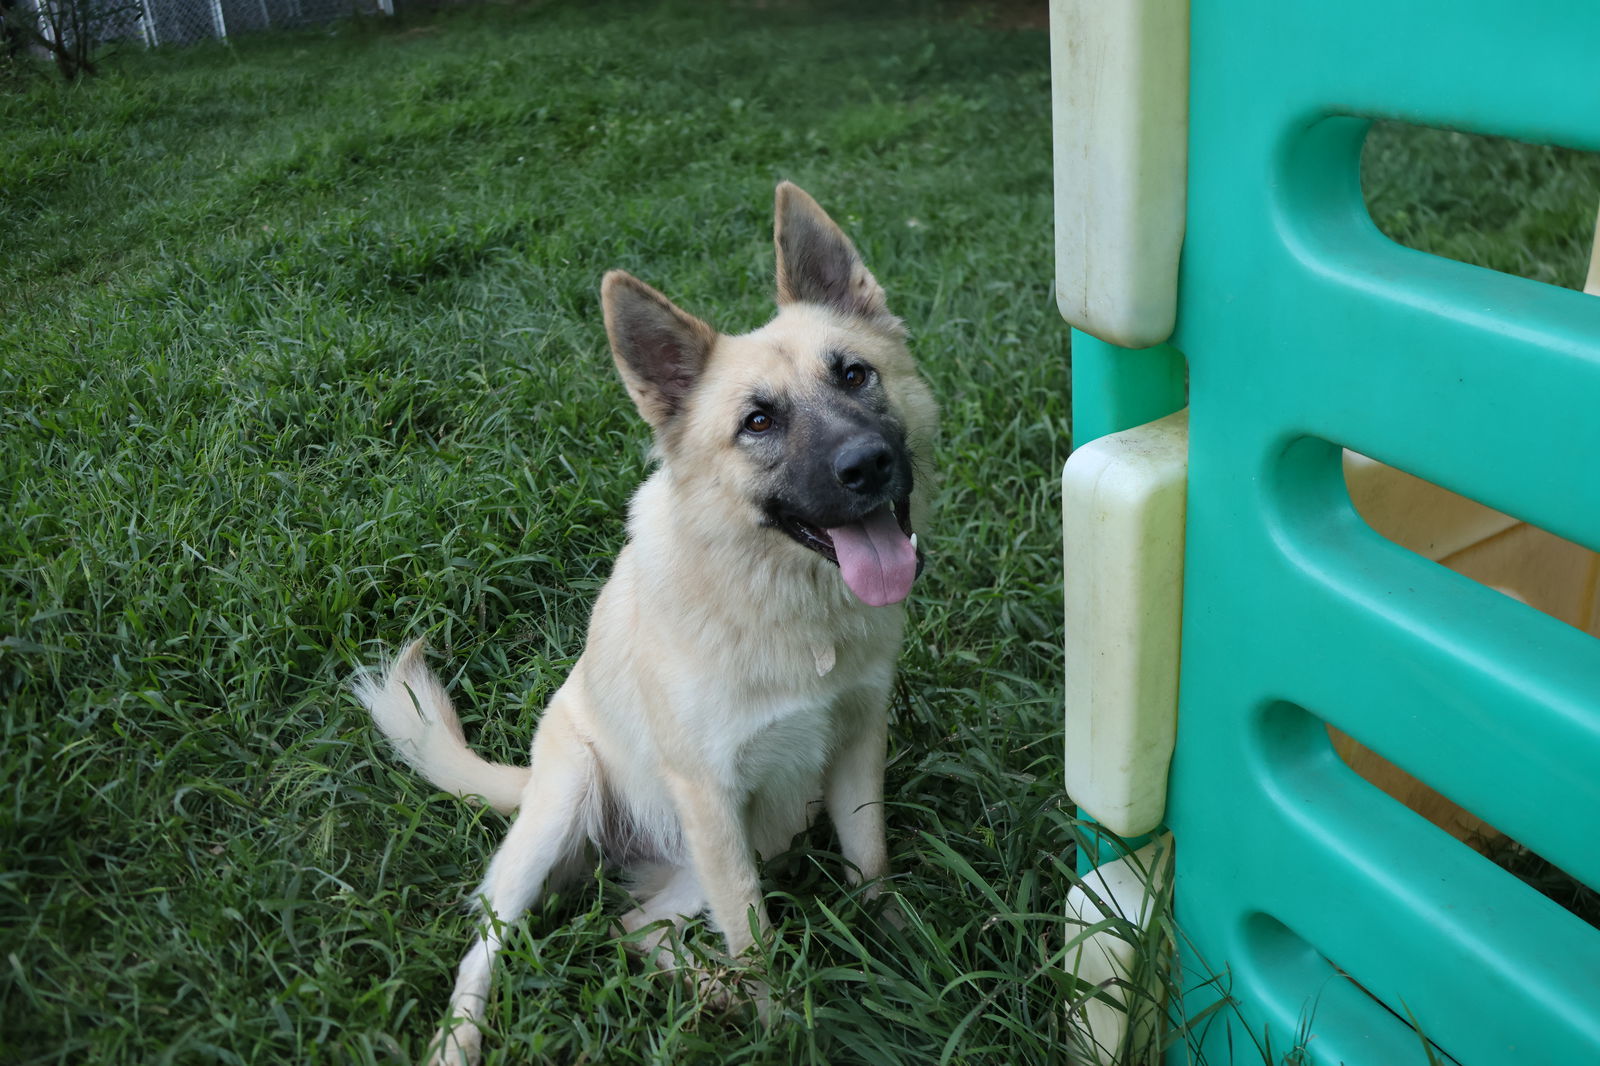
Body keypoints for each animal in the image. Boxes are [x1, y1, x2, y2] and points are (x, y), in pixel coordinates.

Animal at [360, 184, 934, 1062]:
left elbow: (871, 866)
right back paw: (461, 1043)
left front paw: (902, 960)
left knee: (633, 930)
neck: (784, 607)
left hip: (715, 854)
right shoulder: (712, 799)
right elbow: (758, 941)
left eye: (854, 374)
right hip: (572, 813)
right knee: (486, 945)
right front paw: (783, 1033)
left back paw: (708, 992)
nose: (867, 466)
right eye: (758, 422)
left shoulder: (854, 750)